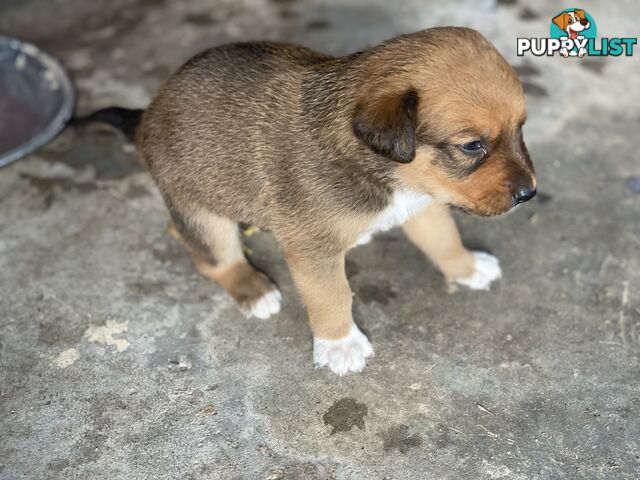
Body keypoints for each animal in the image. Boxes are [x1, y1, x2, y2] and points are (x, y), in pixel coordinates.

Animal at [85, 28, 536, 376]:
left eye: (521, 128)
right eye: (472, 145)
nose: (529, 193)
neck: (383, 171)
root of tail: (145, 116)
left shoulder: (422, 204)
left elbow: (445, 240)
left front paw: (468, 267)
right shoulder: (312, 248)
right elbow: (331, 294)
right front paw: (339, 344)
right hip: (202, 215)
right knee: (213, 261)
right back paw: (252, 288)